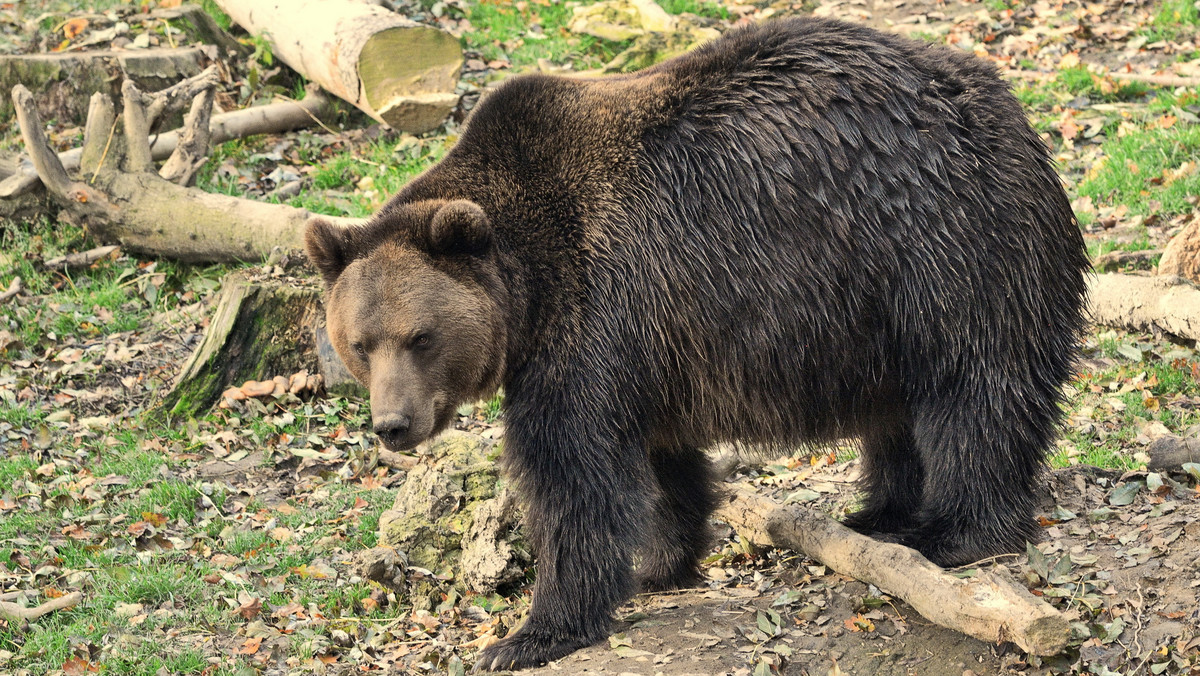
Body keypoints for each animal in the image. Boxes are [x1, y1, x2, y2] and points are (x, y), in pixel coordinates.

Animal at [304, 14, 1094, 672]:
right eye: (359, 343)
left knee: (975, 390)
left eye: (420, 336)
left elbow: (571, 474)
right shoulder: (649, 344)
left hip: (944, 248)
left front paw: (530, 633)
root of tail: (1012, 112)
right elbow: (660, 461)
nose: (393, 424)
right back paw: (880, 513)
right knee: (897, 411)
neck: (527, 290)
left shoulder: (591, 316)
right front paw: (661, 561)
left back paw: (957, 530)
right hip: (880, 308)